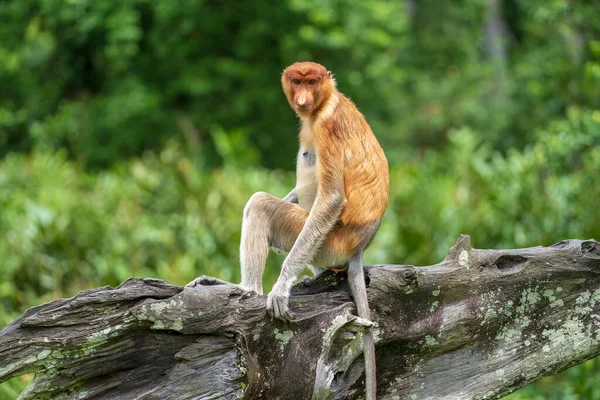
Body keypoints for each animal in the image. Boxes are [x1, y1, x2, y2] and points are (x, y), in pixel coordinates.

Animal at [190, 61, 392, 398]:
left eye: (311, 82)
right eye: (297, 81)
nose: (302, 99)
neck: (324, 103)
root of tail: (358, 247)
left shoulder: (327, 126)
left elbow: (331, 197)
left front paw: (281, 287)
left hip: (327, 241)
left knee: (259, 204)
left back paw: (248, 289)